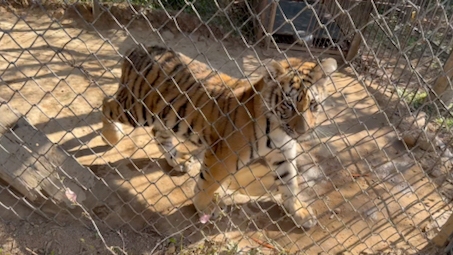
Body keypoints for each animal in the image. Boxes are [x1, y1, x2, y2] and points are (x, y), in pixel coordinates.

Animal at [101, 44, 336, 230]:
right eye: (288, 104)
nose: (303, 131)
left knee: (158, 134)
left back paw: (178, 161)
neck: (279, 128)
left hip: (166, 115)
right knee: (107, 103)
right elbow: (208, 183)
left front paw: (300, 213)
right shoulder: (224, 155)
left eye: (313, 104)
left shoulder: (284, 152)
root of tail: (138, 48)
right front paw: (203, 207)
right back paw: (110, 137)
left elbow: (290, 183)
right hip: (137, 110)